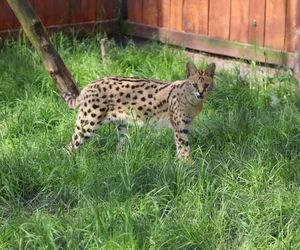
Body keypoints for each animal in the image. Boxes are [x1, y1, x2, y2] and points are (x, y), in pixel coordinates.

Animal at [64, 62, 216, 160]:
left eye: (206, 85)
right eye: (194, 84)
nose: (201, 93)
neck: (193, 101)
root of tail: (89, 84)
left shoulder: (185, 125)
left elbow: (180, 147)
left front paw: (181, 164)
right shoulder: (179, 126)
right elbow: (183, 147)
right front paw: (188, 165)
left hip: (122, 125)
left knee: (120, 146)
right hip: (88, 122)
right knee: (69, 147)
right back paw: (68, 166)